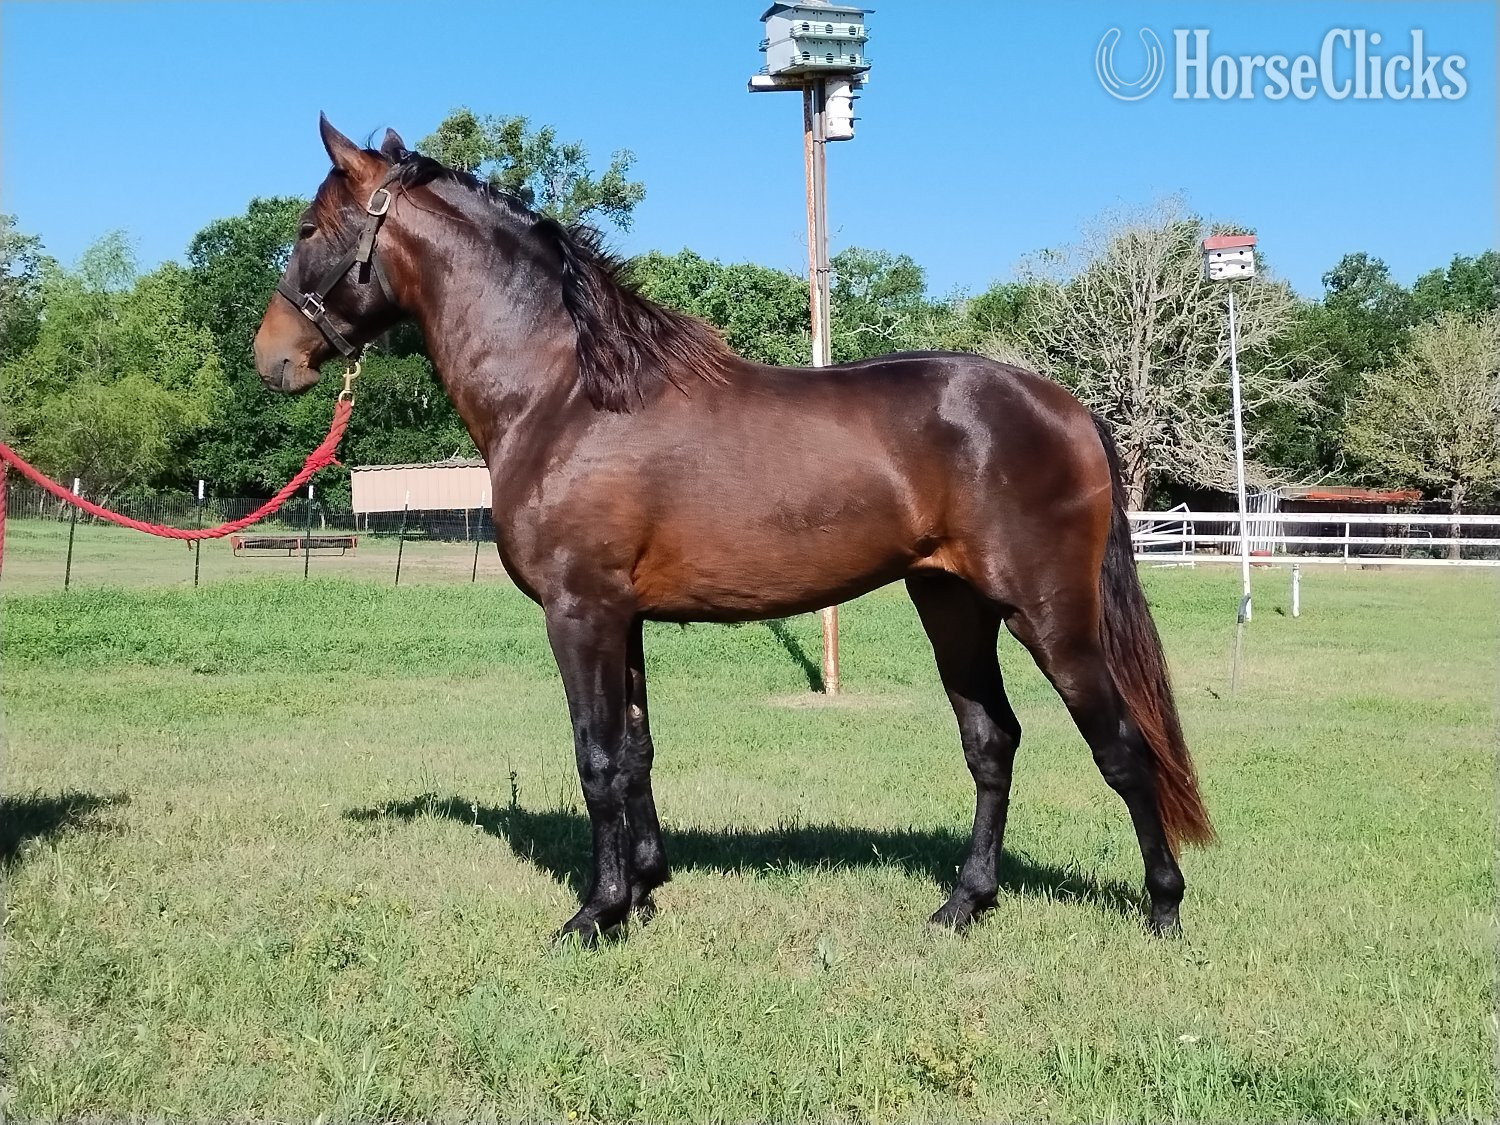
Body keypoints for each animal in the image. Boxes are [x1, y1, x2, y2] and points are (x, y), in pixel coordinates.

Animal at [254, 117, 1213, 945]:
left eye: (308, 227)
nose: (272, 358)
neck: (565, 395)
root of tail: (1067, 408)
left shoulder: (580, 612)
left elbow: (595, 758)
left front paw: (594, 913)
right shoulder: (623, 619)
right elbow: (635, 750)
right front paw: (643, 890)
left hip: (1049, 615)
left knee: (1124, 747)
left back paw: (1164, 907)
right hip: (953, 605)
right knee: (992, 743)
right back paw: (963, 903)